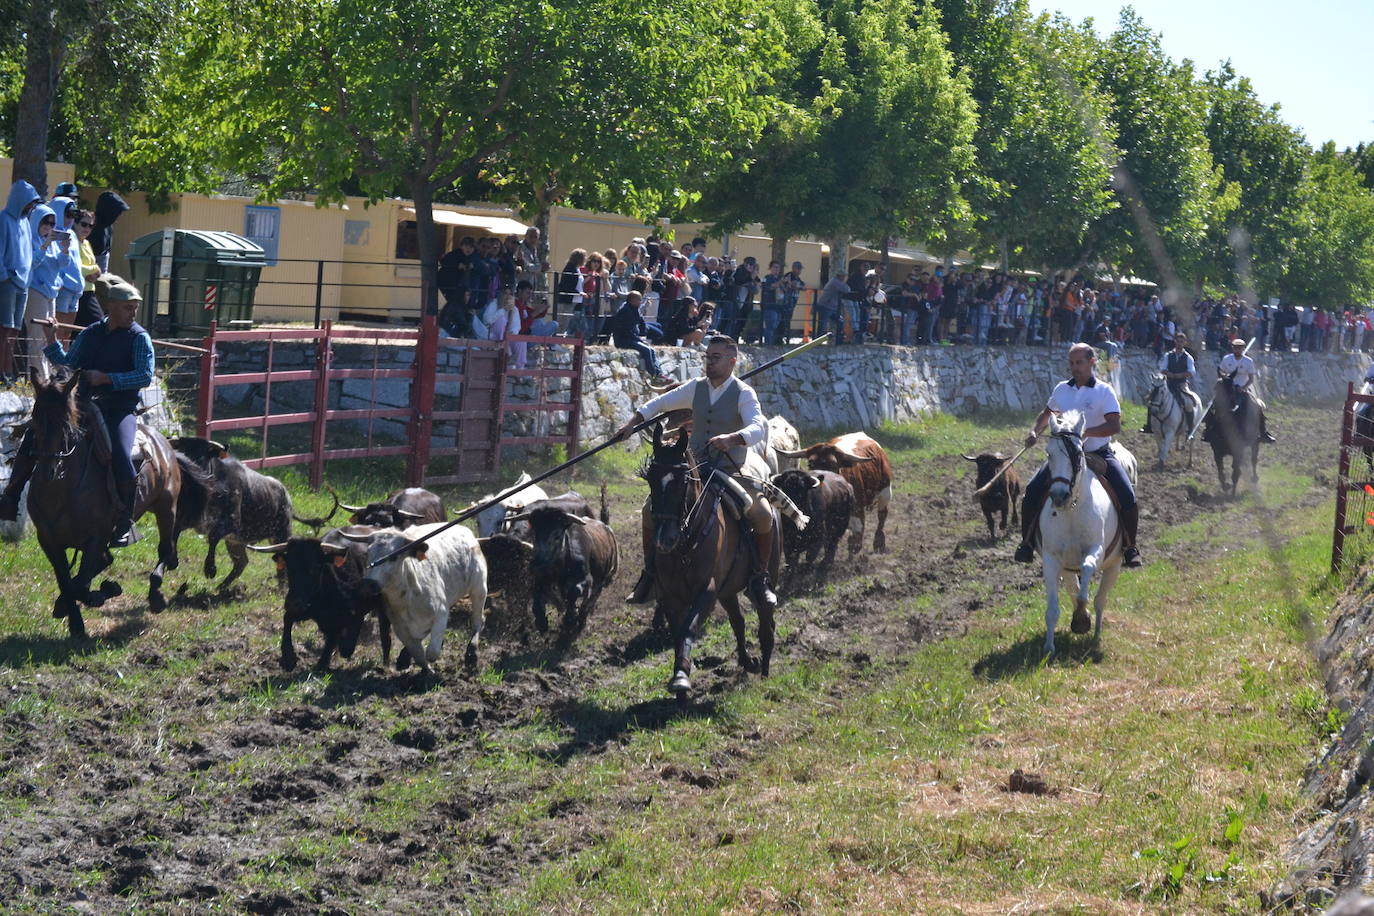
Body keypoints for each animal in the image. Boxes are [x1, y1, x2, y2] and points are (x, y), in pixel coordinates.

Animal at [27, 368, 197, 634]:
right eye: (35, 417)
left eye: (67, 421)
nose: (49, 470)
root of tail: (164, 443)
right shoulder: (48, 540)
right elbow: (67, 581)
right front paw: (73, 620)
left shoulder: (96, 537)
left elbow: (80, 584)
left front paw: (102, 593)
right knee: (107, 561)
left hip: (166, 508)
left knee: (165, 548)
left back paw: (156, 596)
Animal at [640, 425, 780, 708]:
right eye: (651, 478)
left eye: (681, 480)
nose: (664, 540)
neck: (686, 543)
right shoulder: (671, 596)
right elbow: (678, 634)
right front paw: (681, 688)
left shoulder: (707, 591)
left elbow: (689, 629)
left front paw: (681, 678)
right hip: (727, 591)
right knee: (738, 621)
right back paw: (747, 661)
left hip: (763, 576)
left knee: (765, 624)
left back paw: (764, 669)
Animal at [1038, 411, 1137, 656]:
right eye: (1049, 453)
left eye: (1077, 453)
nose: (1059, 496)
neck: (1072, 510)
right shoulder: (1052, 559)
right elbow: (1054, 608)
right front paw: (1049, 648)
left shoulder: (1096, 551)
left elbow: (1086, 579)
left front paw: (1082, 620)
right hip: (1067, 569)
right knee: (1075, 589)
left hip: (1114, 566)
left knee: (1100, 599)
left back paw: (1096, 634)